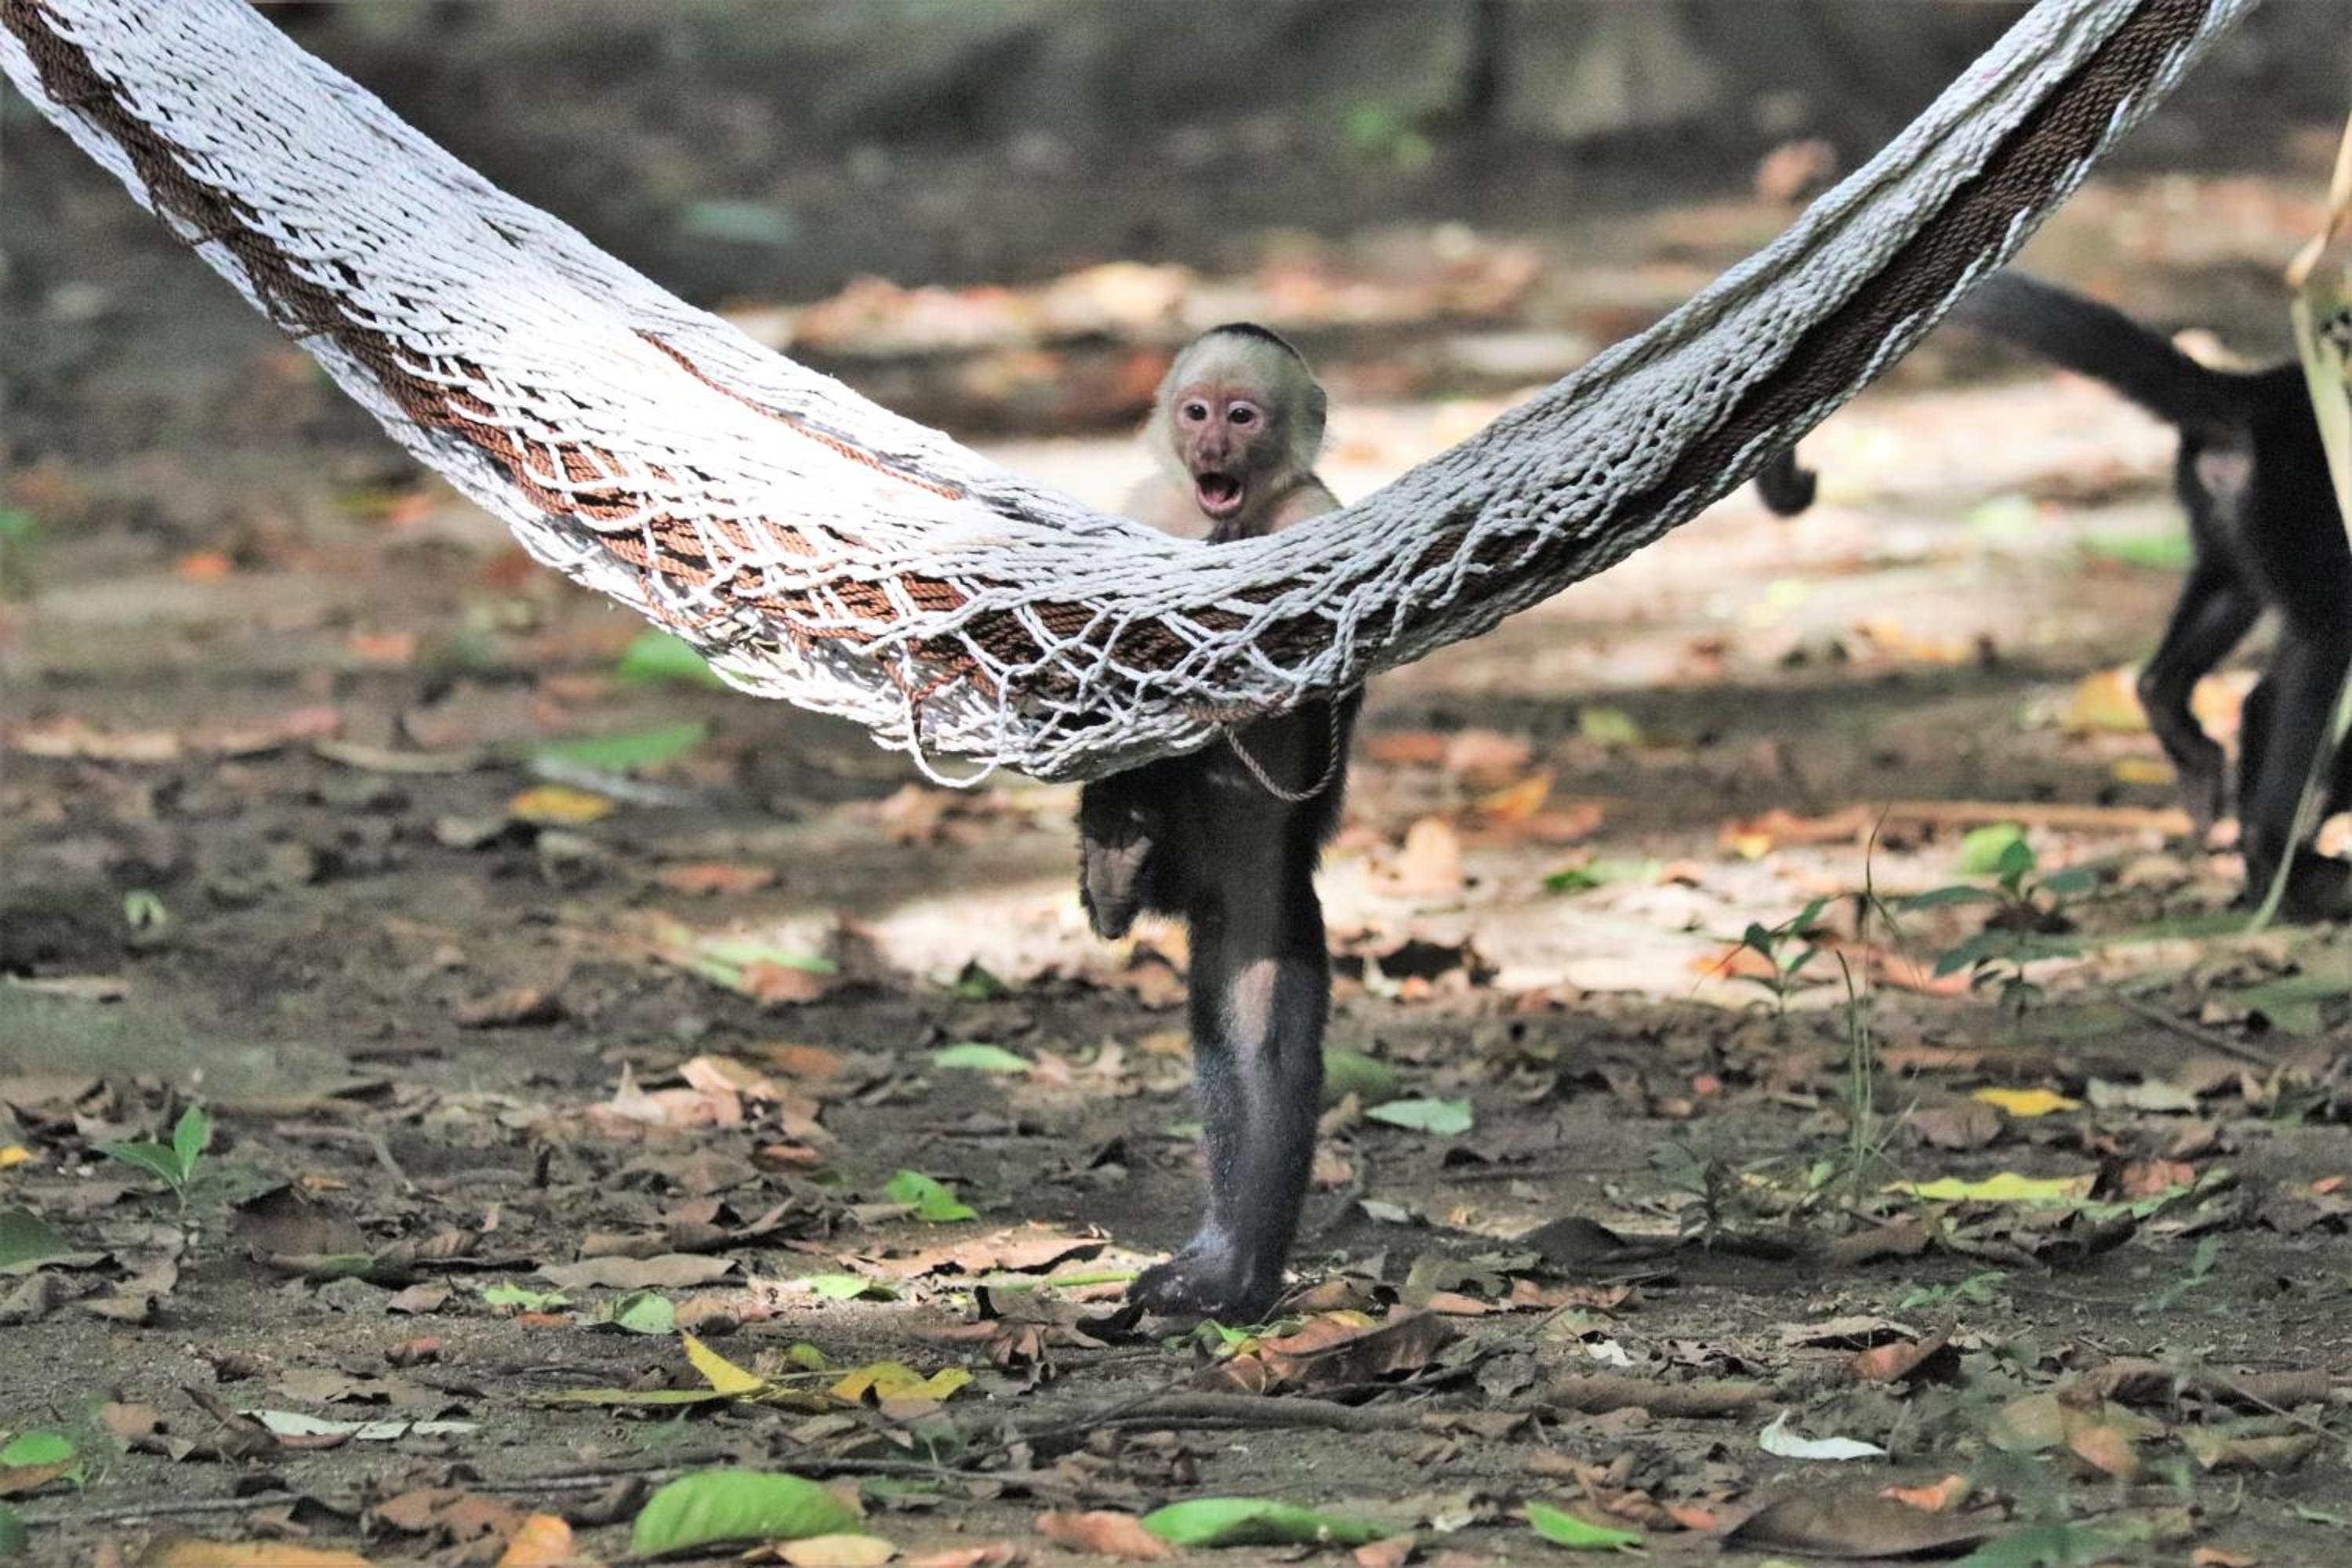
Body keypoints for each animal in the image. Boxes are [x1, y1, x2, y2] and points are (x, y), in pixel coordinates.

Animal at [1079, 324, 1360, 1319]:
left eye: (1243, 416)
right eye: (1196, 410)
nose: (1210, 445)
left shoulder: (1317, 515)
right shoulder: (1145, 507)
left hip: (1262, 894)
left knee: (1260, 1040)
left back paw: (1236, 1278)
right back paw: (1114, 851)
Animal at [1766, 272, 2350, 917]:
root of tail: (2259, 395)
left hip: (2233, 504)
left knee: (2233, 600)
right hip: (2299, 494)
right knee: (2324, 640)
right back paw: (2279, 857)